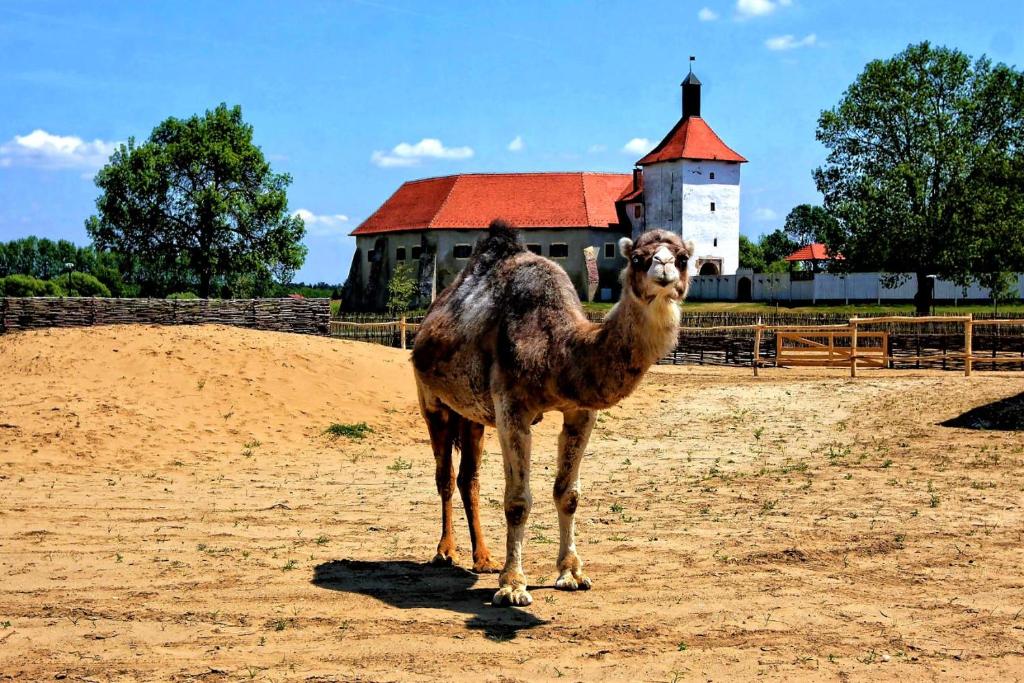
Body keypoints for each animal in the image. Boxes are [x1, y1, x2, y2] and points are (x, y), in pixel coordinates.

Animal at [411, 218, 692, 602]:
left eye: (683, 258)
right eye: (637, 258)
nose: (663, 267)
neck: (556, 350)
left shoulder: (581, 413)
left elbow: (568, 494)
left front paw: (572, 573)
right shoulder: (512, 408)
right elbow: (517, 500)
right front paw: (512, 585)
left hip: (472, 417)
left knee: (469, 478)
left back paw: (483, 558)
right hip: (432, 403)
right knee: (444, 476)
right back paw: (445, 552)